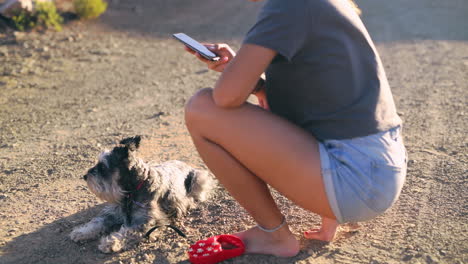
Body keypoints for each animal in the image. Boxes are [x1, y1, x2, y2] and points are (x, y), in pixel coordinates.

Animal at [69, 137, 212, 253]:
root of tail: (184, 163)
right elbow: (97, 221)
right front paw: (82, 232)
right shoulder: (113, 213)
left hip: (199, 178)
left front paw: (111, 242)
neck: (132, 191)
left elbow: (128, 231)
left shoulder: (147, 222)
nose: (85, 176)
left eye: (103, 167)